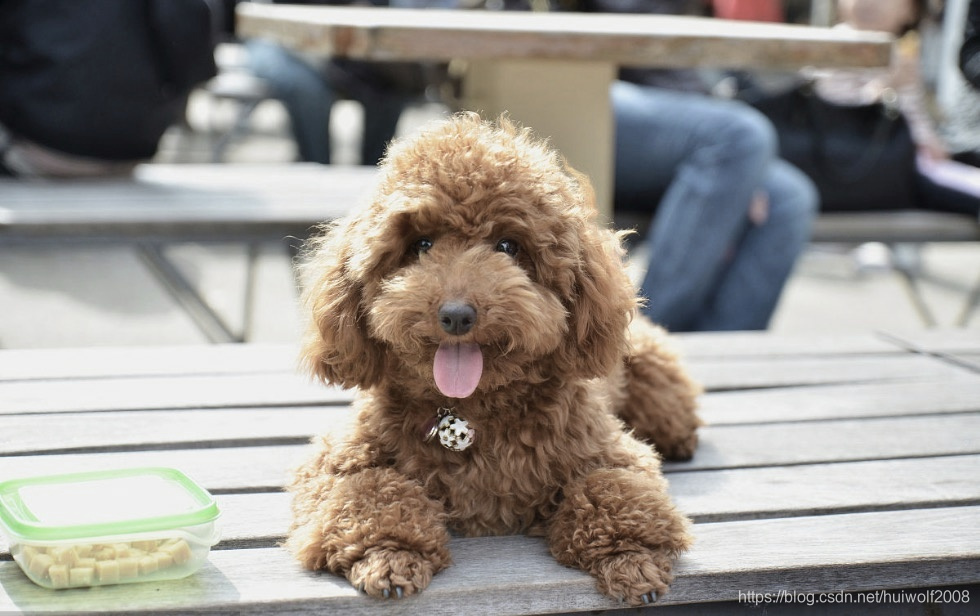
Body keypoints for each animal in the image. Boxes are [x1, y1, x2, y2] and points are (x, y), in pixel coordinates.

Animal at [288, 113, 700, 604]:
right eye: (421, 244)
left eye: (508, 246)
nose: (456, 315)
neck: (469, 412)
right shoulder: (335, 461)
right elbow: (369, 491)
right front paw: (389, 554)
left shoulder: (610, 451)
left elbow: (613, 489)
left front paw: (631, 558)